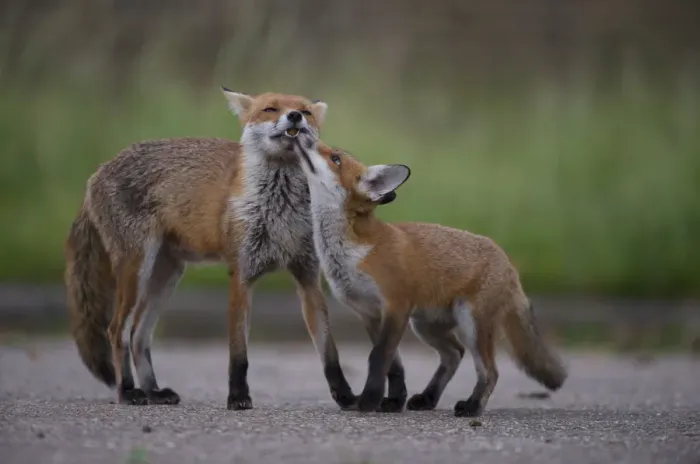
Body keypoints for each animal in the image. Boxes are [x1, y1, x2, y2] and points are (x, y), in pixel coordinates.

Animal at [64, 88, 358, 410]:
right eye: (270, 109)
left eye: (305, 112)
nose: (293, 117)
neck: (279, 210)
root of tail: (97, 171)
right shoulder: (241, 275)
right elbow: (238, 354)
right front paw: (238, 397)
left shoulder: (307, 277)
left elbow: (330, 353)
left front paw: (346, 396)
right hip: (137, 269)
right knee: (116, 330)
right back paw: (129, 392)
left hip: (166, 276)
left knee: (139, 334)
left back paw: (153, 391)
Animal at [291, 136, 568, 417]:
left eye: (335, 159)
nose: (303, 133)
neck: (354, 252)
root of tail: (508, 262)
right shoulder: (370, 314)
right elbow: (394, 365)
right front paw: (393, 401)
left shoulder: (396, 306)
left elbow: (378, 358)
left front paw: (368, 401)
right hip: (425, 326)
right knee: (454, 354)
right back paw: (428, 398)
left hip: (471, 324)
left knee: (489, 371)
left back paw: (472, 406)